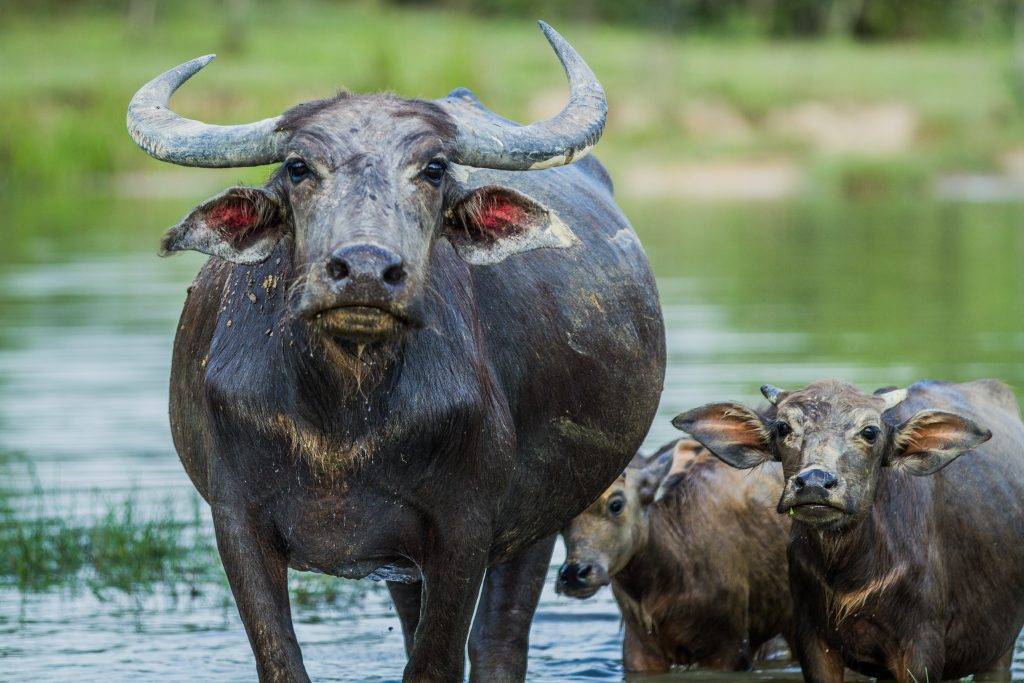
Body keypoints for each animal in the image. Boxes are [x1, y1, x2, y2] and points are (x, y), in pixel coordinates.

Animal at [125, 22, 663, 683]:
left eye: (432, 169)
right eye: (298, 167)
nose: (364, 270)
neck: (341, 415)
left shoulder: (464, 531)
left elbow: (436, 662)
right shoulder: (237, 523)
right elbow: (282, 660)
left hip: (535, 523)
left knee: (498, 644)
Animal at [671, 378, 1024, 683]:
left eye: (870, 431)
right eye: (784, 427)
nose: (814, 482)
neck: (849, 573)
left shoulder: (922, 645)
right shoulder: (813, 640)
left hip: (999, 649)